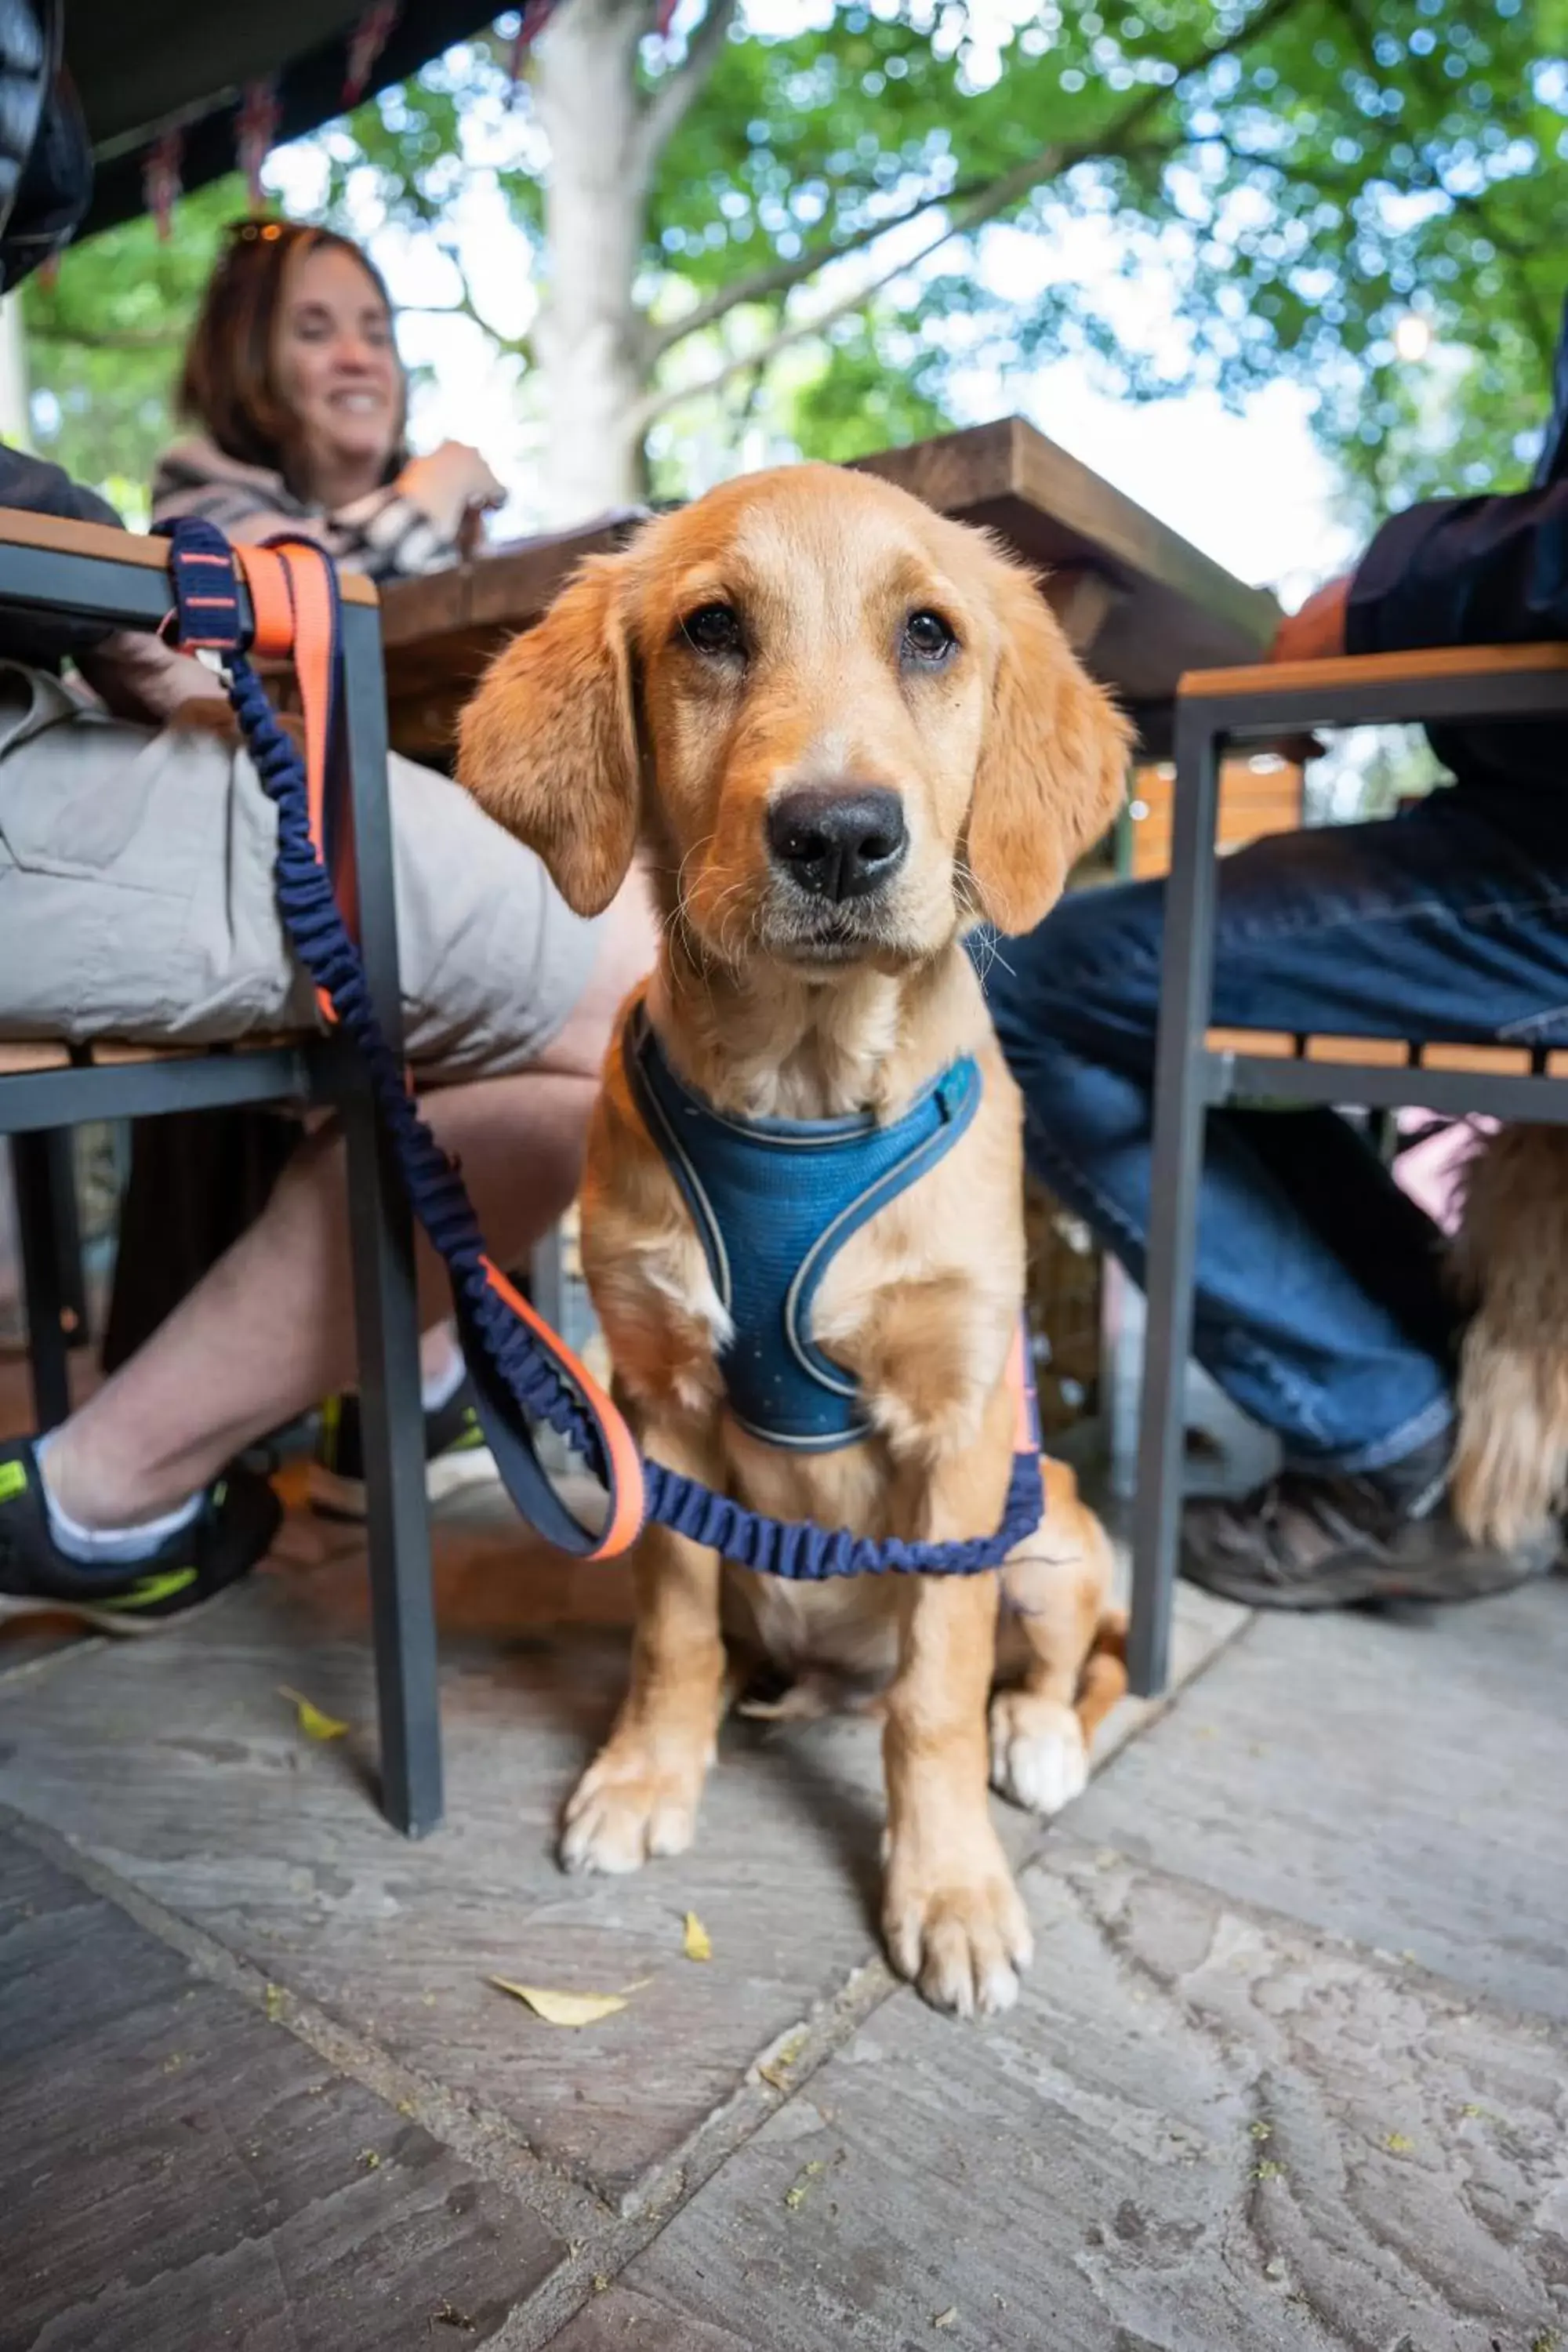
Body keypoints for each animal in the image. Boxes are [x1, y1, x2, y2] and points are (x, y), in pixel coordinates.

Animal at [460, 463, 1133, 2023]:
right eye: (711, 628)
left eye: (933, 635)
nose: (838, 833)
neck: (806, 1097)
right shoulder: (654, 1404)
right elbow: (670, 1625)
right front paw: (647, 1776)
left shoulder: (963, 1426)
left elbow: (938, 1690)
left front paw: (950, 1891)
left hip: (1055, 1525)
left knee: (1072, 1666)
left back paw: (1038, 1743)